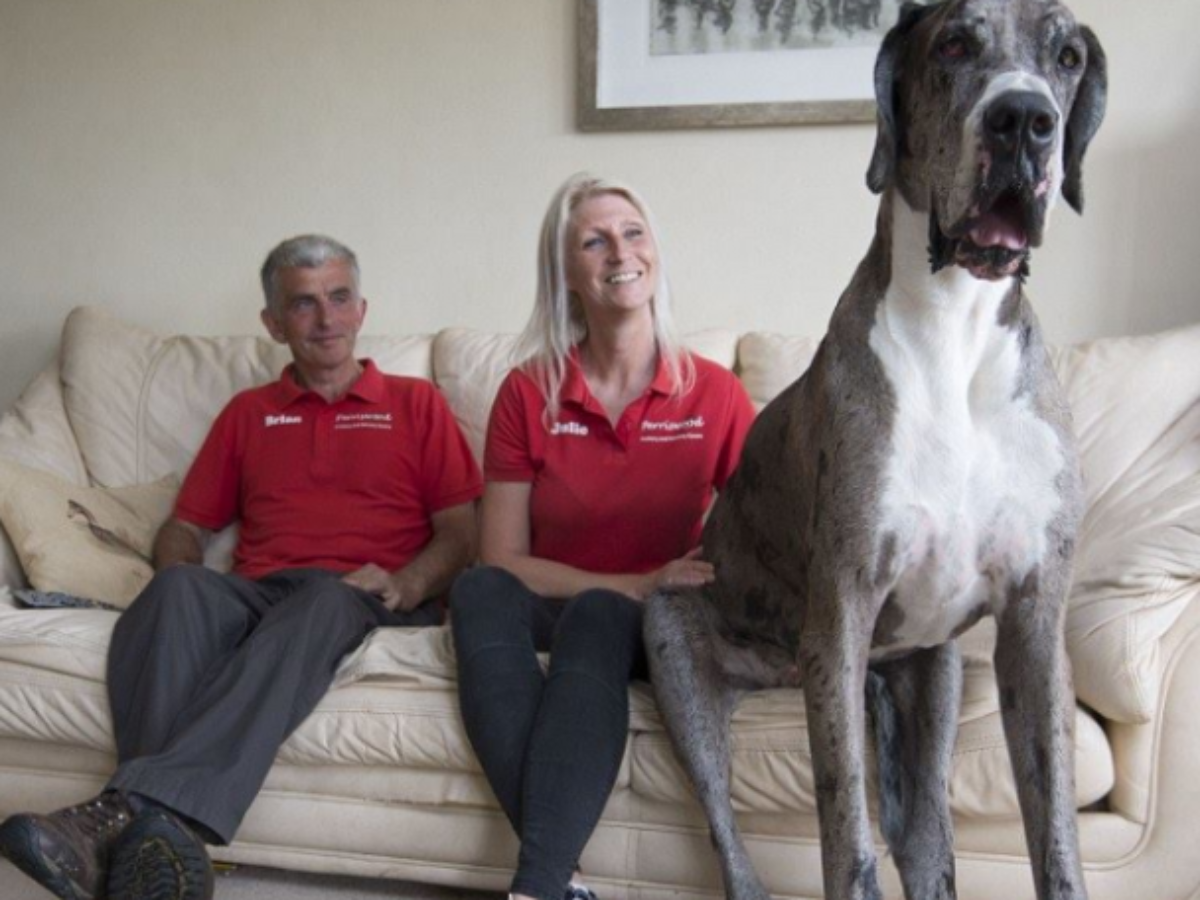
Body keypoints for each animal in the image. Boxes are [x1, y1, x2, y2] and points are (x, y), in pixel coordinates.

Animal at [648, 1, 1104, 900]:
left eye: (1067, 56)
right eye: (954, 43)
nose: (1024, 119)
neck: (954, 331)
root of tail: (778, 671)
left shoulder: (1035, 624)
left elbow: (1059, 844)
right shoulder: (843, 615)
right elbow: (845, 843)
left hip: (932, 677)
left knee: (927, 839)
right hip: (678, 642)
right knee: (731, 840)